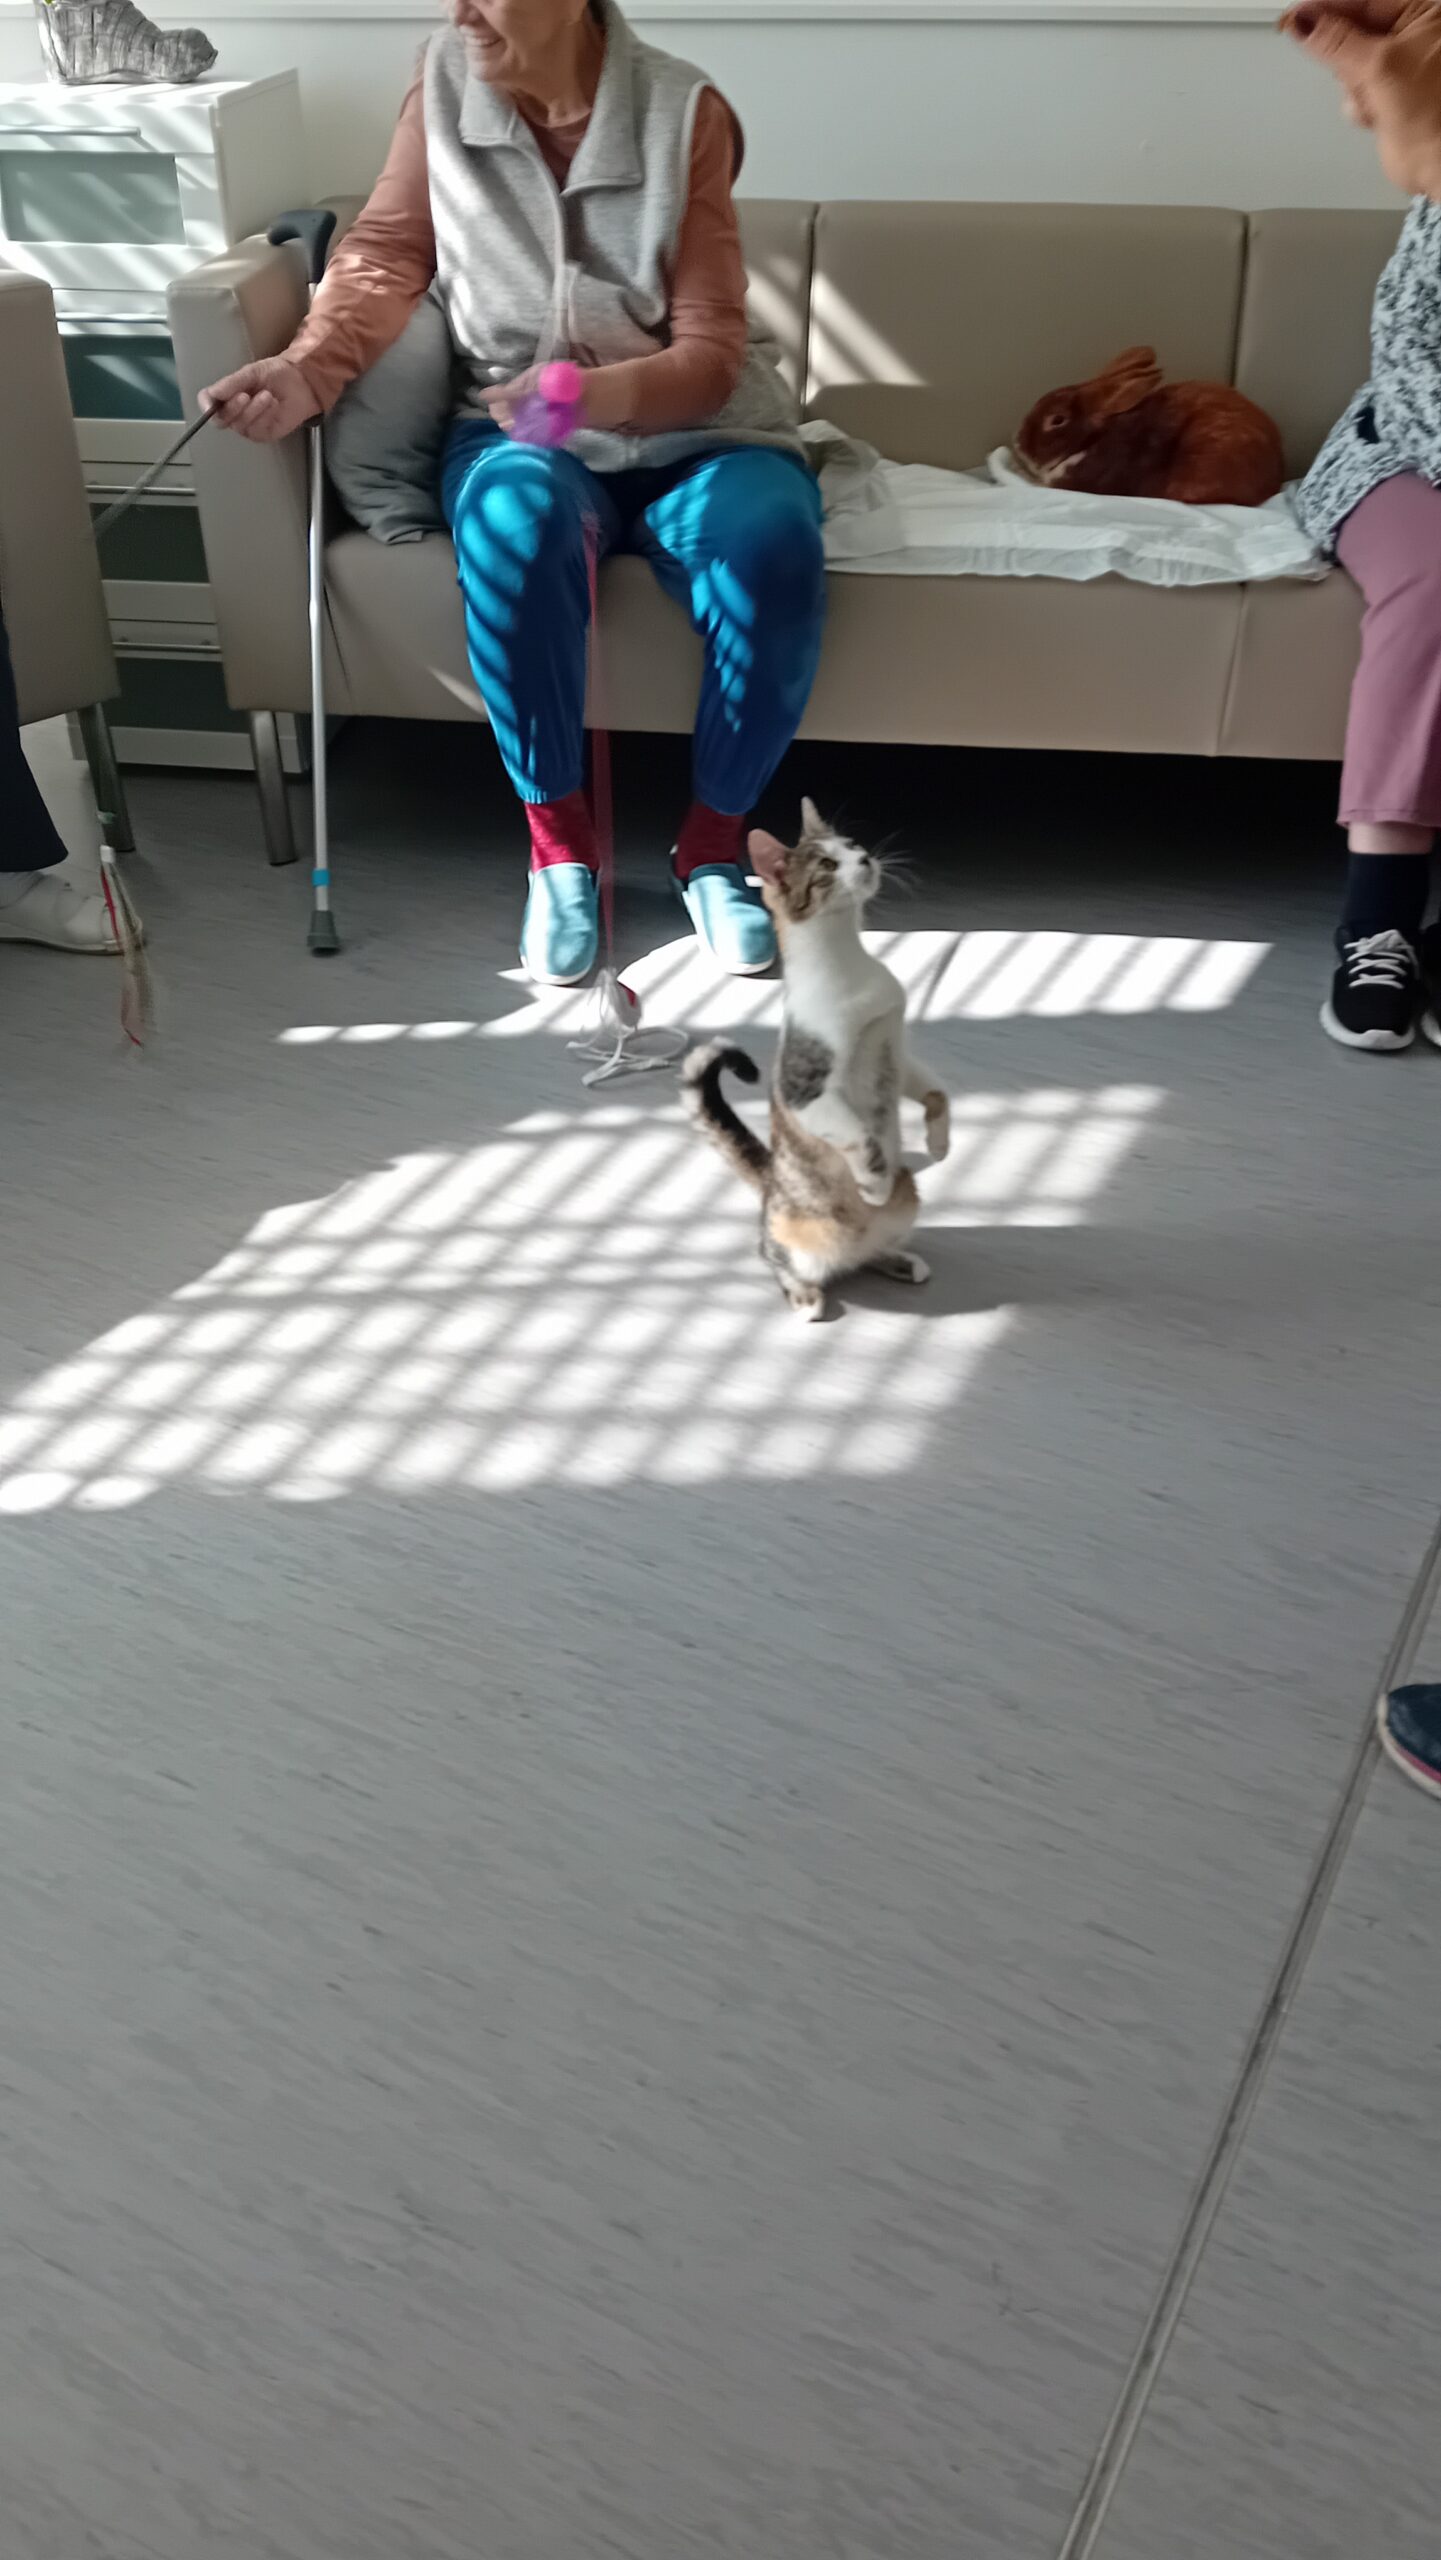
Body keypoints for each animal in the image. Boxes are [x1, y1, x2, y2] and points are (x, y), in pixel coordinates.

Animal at [682, 799, 950, 1321]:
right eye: (827, 864)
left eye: (853, 845)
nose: (865, 859)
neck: (850, 967)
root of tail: (770, 1182)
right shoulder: (806, 1090)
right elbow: (862, 1137)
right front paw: (872, 1183)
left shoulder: (897, 1048)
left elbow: (936, 1092)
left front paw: (940, 1142)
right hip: (797, 1232)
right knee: (772, 1253)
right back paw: (805, 1294)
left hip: (908, 1197)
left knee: (869, 1252)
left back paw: (897, 1259)